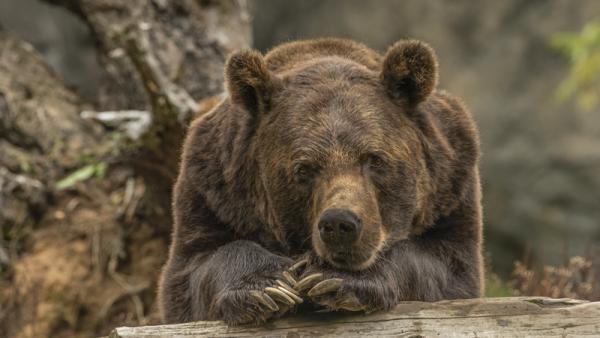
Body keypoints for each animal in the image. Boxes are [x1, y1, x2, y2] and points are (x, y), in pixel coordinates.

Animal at [158, 37, 482, 324]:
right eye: (304, 168)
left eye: (374, 159)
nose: (340, 223)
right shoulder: (213, 191)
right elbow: (195, 268)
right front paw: (269, 287)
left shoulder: (451, 187)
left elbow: (445, 266)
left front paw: (335, 279)